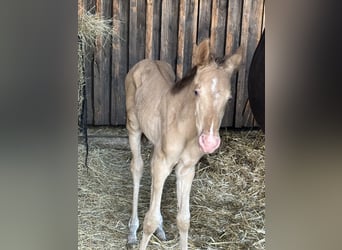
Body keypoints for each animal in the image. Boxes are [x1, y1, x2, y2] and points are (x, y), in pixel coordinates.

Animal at [124, 38, 242, 248]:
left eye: (229, 98)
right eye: (196, 91)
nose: (209, 142)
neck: (185, 129)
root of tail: (145, 61)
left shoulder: (186, 168)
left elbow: (184, 219)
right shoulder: (162, 163)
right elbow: (149, 221)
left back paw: (161, 229)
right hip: (133, 127)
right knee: (137, 167)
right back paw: (132, 231)